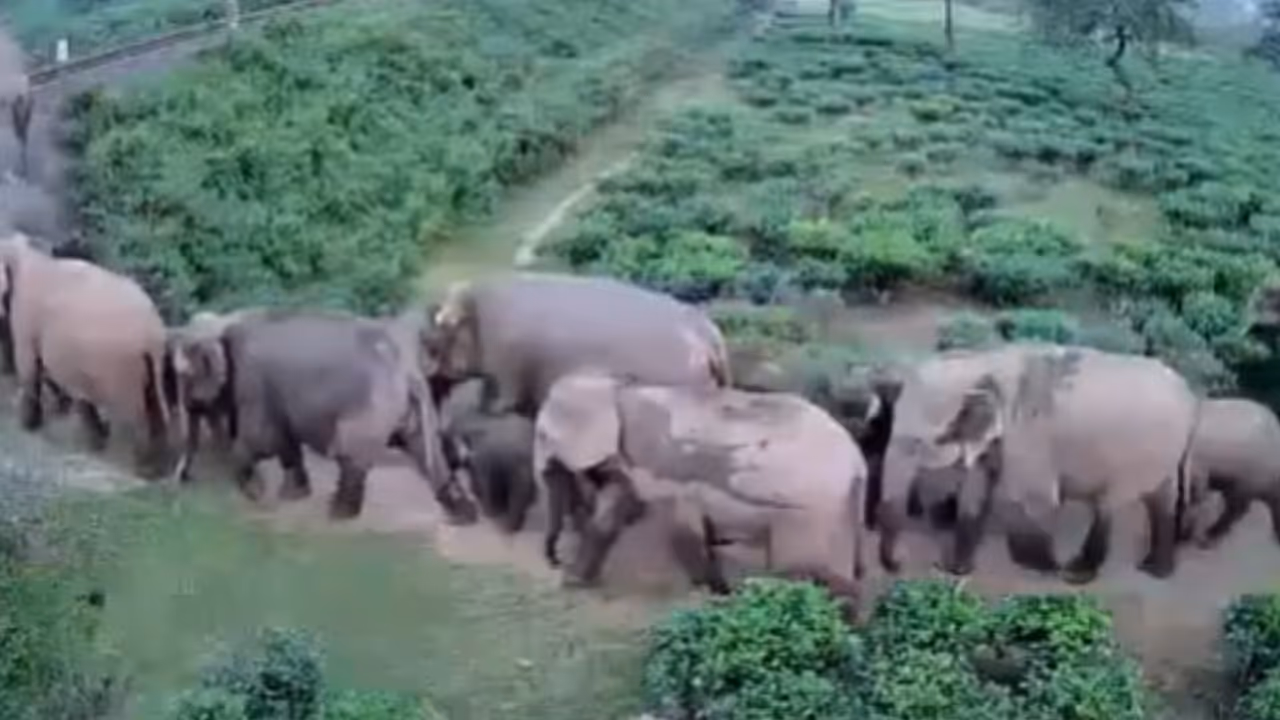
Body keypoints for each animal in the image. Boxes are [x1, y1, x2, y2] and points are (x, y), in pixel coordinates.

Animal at [0, 233, 175, 477]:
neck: (27, 253)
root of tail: (152, 333)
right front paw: (62, 407)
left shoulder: (26, 316)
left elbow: (29, 364)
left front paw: (27, 427)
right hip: (149, 364)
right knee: (154, 403)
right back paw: (154, 467)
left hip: (122, 367)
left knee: (134, 413)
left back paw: (134, 465)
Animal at [167, 307, 477, 523]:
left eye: (184, 377)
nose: (183, 482)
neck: (223, 323)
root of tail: (409, 373)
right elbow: (285, 440)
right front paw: (291, 495)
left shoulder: (253, 381)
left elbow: (260, 439)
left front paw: (255, 494)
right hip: (405, 409)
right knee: (428, 452)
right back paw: (464, 515)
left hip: (369, 411)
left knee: (349, 456)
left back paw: (337, 514)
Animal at [421, 272, 732, 418]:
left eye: (441, 328)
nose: (427, 372)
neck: (475, 312)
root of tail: (707, 335)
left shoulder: (507, 368)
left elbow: (503, 398)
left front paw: (487, 410)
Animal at [533, 371, 867, 605]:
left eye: (541, 435)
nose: (554, 561)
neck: (617, 388)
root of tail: (856, 460)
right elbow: (612, 511)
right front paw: (576, 583)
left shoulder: (662, 468)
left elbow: (680, 529)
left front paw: (717, 595)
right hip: (840, 506)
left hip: (807, 511)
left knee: (804, 573)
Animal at [874, 343, 1199, 584]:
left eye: (916, 443)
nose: (900, 563)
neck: (983, 362)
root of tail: (1190, 398)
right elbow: (977, 488)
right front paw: (957, 569)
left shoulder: (1028, 434)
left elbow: (1034, 498)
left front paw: (1041, 566)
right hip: (1165, 452)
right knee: (1162, 501)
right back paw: (1155, 570)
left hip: (1142, 455)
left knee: (1108, 504)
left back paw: (1076, 573)